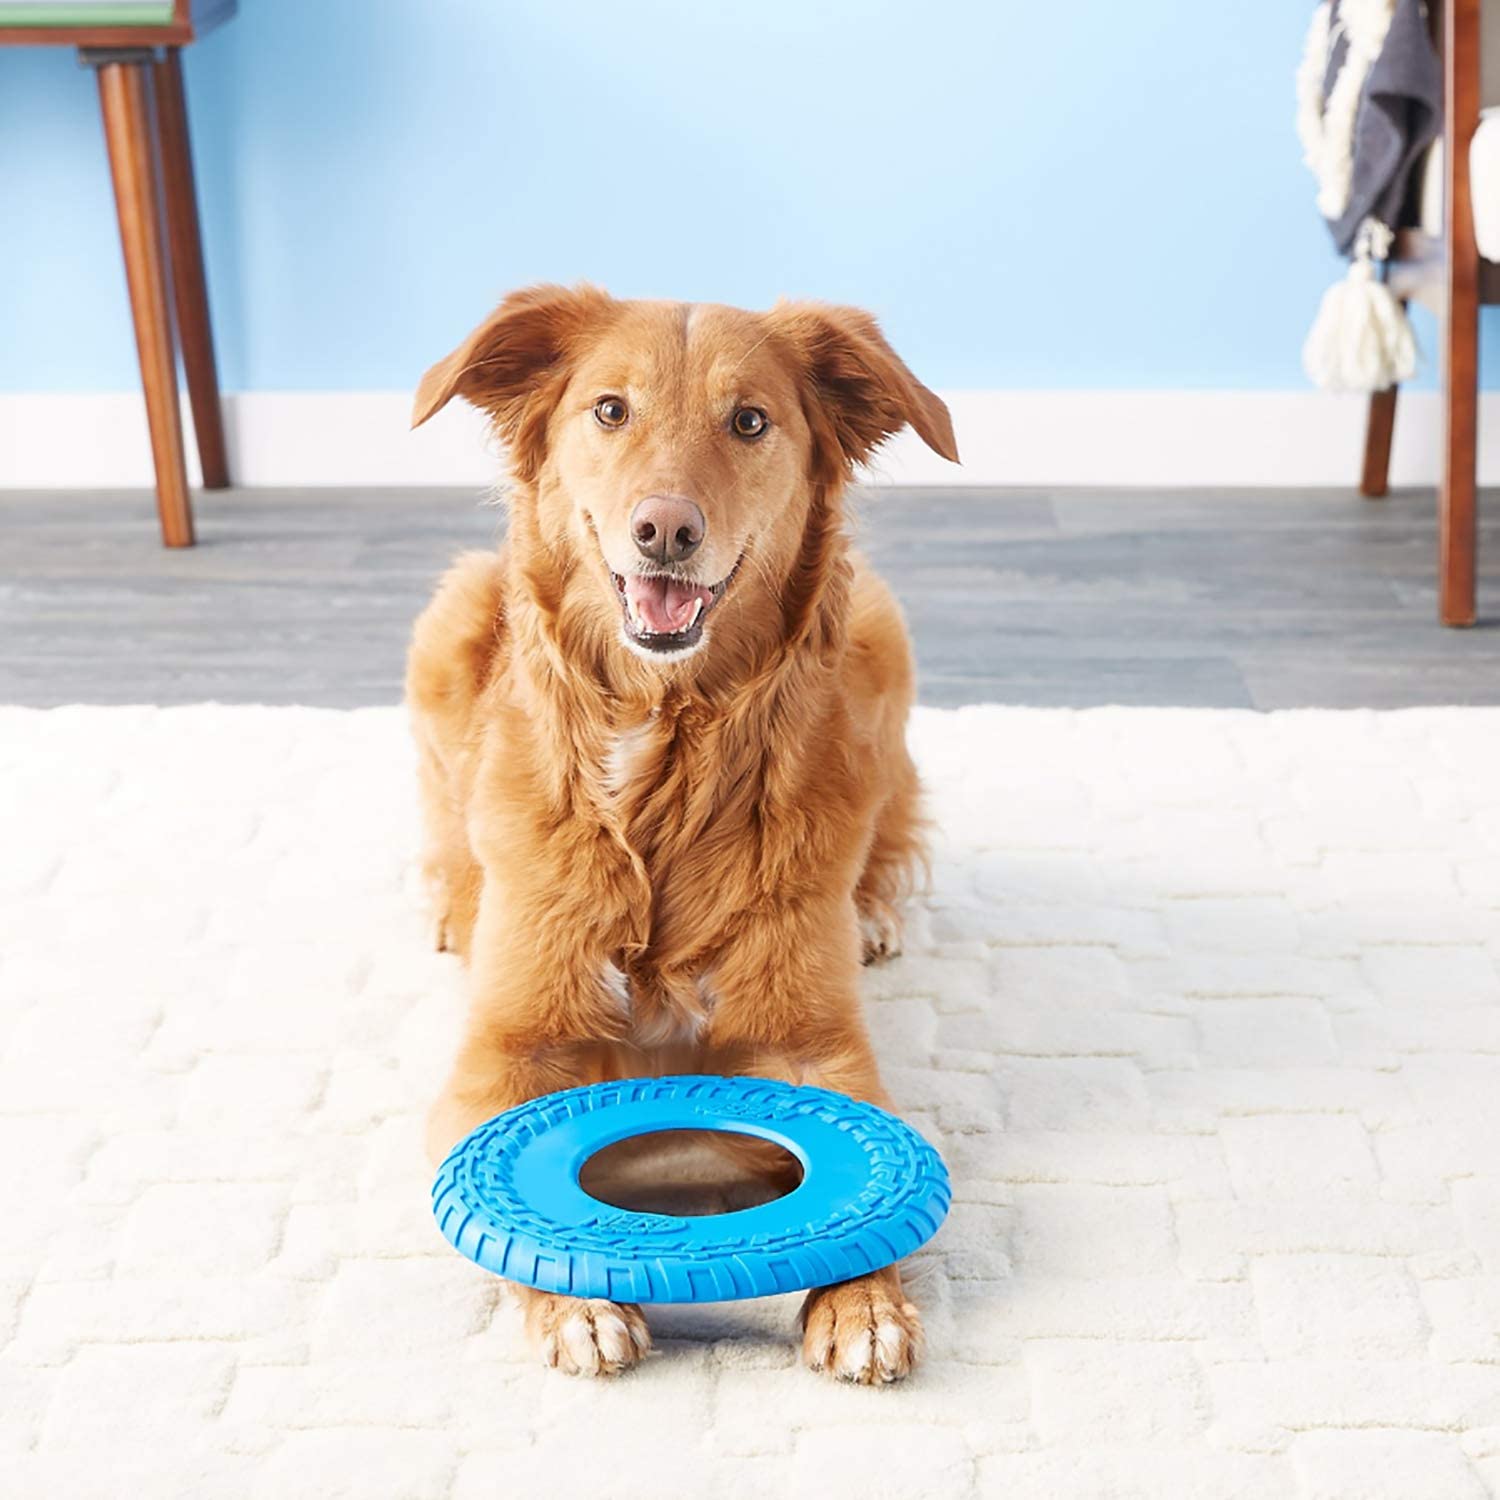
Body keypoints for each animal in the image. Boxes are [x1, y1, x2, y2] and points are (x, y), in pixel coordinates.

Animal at [405, 283, 954, 1380]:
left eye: (749, 421)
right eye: (611, 410)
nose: (665, 529)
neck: (669, 749)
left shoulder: (812, 1044)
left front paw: (867, 1301)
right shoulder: (505, 1054)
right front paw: (575, 1300)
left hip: (882, 633)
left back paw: (873, 912)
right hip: (449, 619)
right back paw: (452, 901)